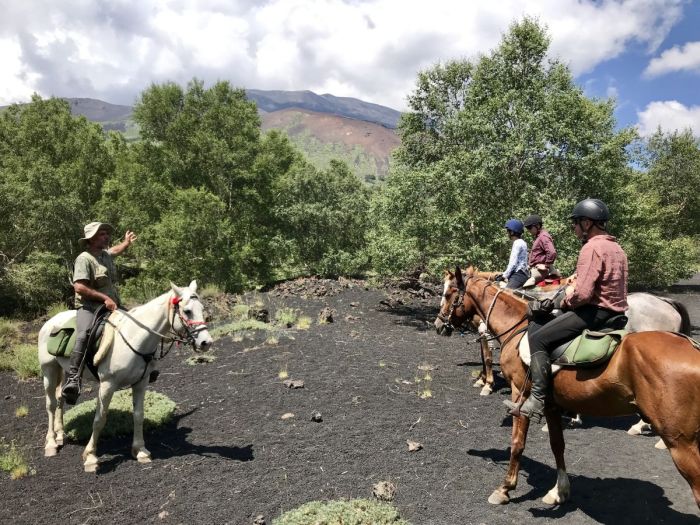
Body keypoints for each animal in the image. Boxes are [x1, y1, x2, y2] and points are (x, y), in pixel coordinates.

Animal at [38, 280, 212, 472]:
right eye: (187, 311)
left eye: (202, 308)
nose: (206, 342)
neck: (135, 337)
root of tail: (50, 322)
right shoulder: (107, 385)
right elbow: (99, 419)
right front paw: (91, 457)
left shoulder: (141, 383)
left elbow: (138, 415)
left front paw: (140, 451)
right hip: (49, 370)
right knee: (51, 404)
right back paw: (51, 443)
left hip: (65, 371)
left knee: (61, 398)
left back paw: (60, 434)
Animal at [438, 266, 700, 508]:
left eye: (449, 293)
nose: (440, 324)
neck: (517, 327)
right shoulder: (551, 404)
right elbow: (557, 445)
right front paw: (559, 491)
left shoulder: (520, 393)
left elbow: (517, 444)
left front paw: (505, 488)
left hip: (681, 443)